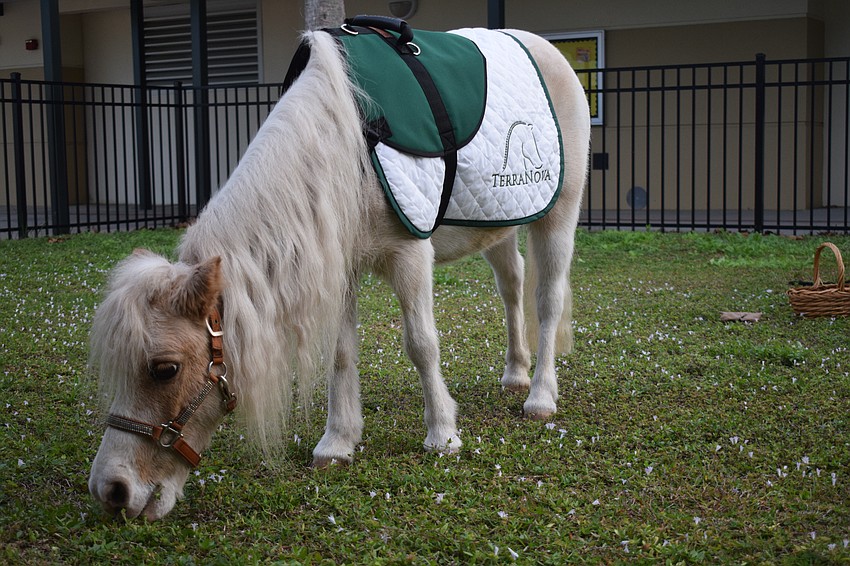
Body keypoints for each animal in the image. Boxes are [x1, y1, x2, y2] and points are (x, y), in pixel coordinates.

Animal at [88, 26, 590, 520]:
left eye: (165, 369)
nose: (111, 490)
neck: (350, 150)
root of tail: (548, 51)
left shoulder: (410, 255)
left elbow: (422, 345)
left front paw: (442, 435)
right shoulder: (341, 267)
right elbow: (341, 352)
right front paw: (338, 442)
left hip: (558, 216)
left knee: (547, 300)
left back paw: (540, 395)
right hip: (499, 222)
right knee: (512, 286)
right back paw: (516, 372)